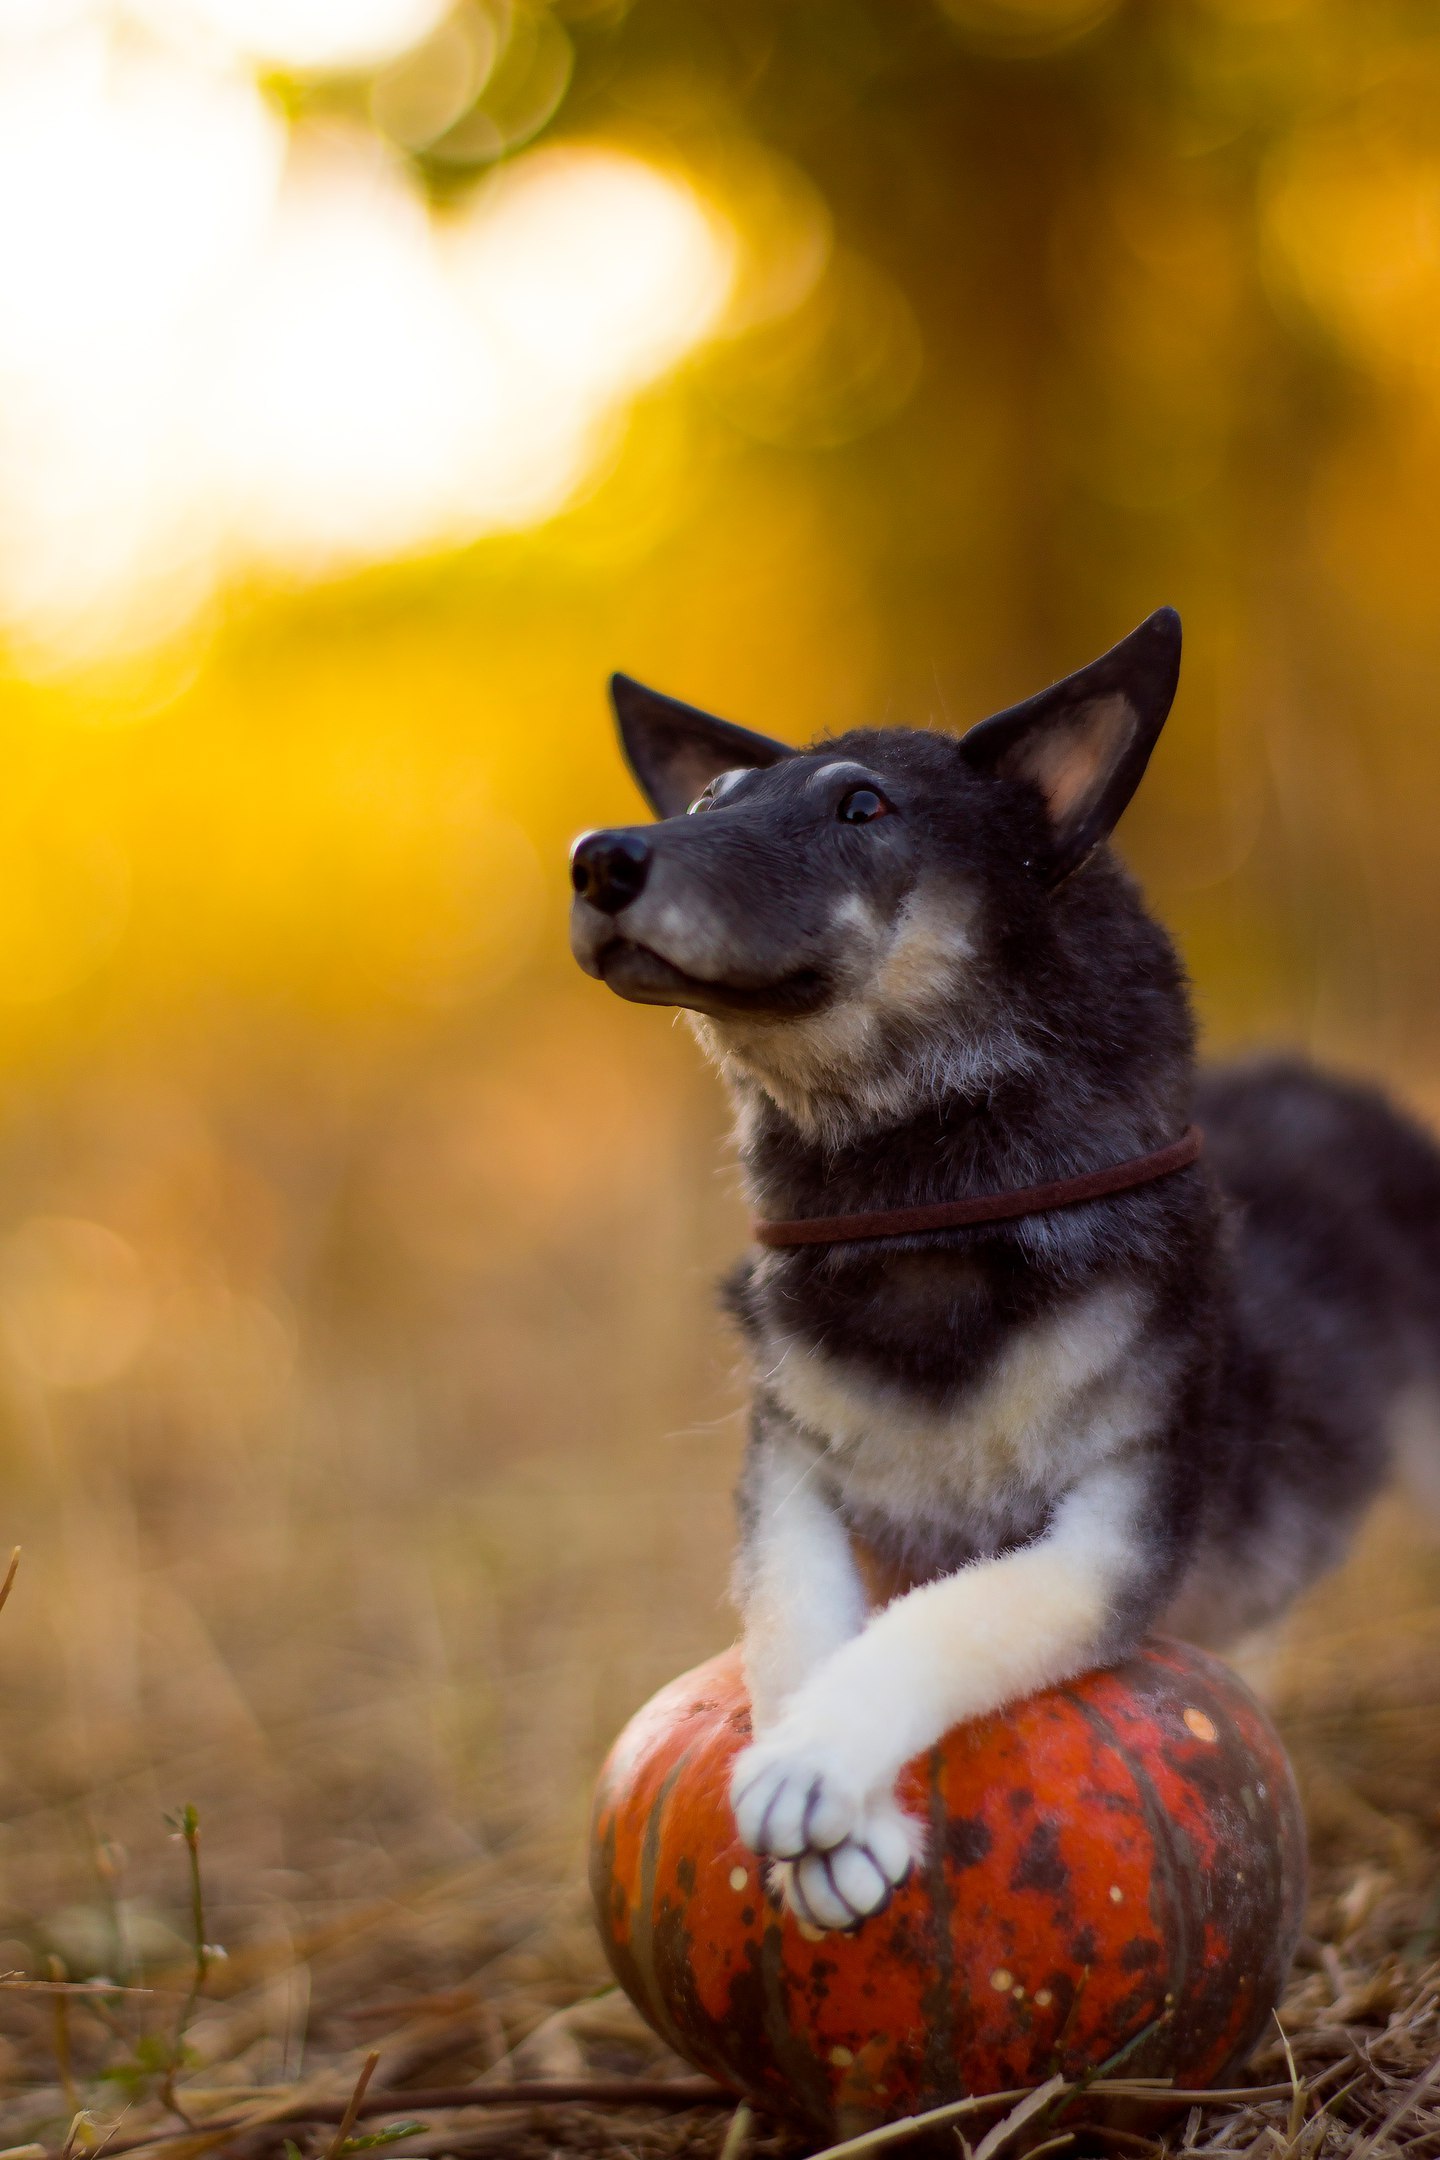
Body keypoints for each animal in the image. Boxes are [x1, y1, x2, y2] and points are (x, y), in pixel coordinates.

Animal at [561, 613, 1440, 1944]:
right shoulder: (787, 1480)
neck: (926, 1208)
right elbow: (792, 1619)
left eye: (862, 805)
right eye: (711, 796)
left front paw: (816, 1762)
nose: (597, 860)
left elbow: (960, 1612)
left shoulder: (1116, 1530)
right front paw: (834, 1817)